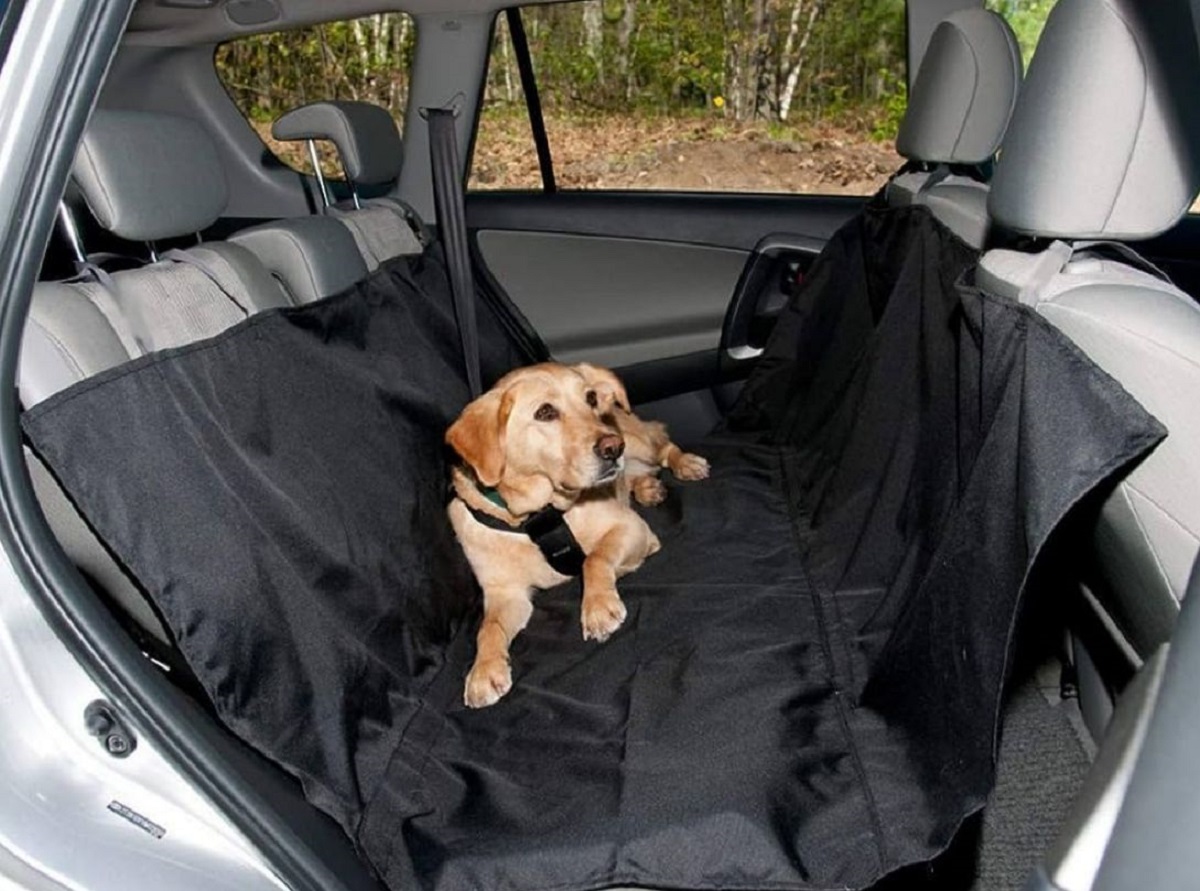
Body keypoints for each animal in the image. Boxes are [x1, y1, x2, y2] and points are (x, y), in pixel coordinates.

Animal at [446, 362, 705, 710]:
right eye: (545, 412)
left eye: (591, 398)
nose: (613, 447)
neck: (536, 515)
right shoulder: (506, 595)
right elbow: (488, 629)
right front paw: (483, 670)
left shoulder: (630, 527)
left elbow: (593, 559)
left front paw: (597, 607)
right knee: (637, 475)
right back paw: (647, 487)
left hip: (639, 441)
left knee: (664, 446)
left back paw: (686, 463)